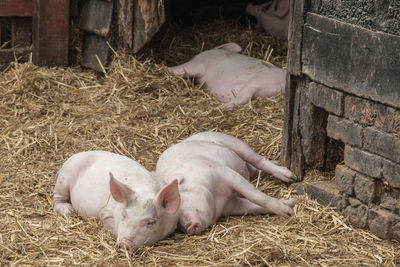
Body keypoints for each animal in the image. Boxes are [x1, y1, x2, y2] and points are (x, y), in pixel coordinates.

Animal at [52, 151, 180, 251]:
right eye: (124, 215)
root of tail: (72, 157)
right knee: (57, 199)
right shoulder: (106, 211)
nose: (124, 243)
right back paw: (69, 210)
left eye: (151, 222)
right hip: (64, 178)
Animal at [155, 132, 296, 237]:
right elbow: (254, 207)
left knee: (259, 160)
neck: (217, 199)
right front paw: (292, 203)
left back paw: (291, 177)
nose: (188, 229)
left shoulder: (227, 174)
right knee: (256, 169)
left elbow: (256, 196)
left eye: (181, 199)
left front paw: (289, 213)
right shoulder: (232, 206)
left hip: (235, 143)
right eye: (177, 223)